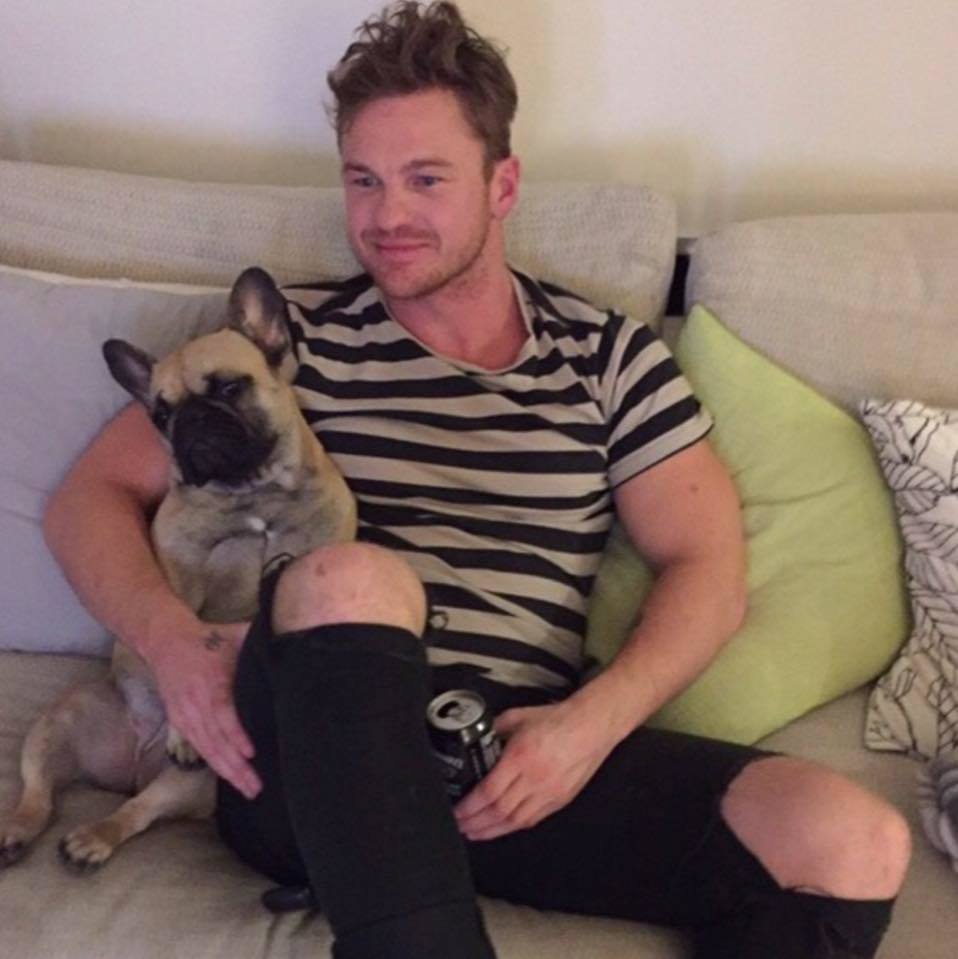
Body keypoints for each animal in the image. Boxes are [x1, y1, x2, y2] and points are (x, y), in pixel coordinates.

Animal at [0, 266, 357, 871]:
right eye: (160, 414)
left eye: (230, 388)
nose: (189, 420)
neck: (251, 494)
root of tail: (133, 764)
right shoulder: (182, 583)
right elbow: (188, 651)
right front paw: (187, 720)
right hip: (59, 721)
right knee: (39, 794)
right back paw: (20, 831)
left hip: (200, 779)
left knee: (137, 811)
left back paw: (97, 834)